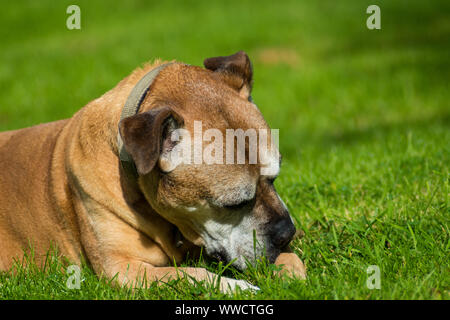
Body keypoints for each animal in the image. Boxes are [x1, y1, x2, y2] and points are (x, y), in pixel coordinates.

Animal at [0, 50, 306, 292]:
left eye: (274, 179)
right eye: (233, 204)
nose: (286, 233)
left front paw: (292, 268)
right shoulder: (122, 269)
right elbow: (191, 275)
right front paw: (237, 287)